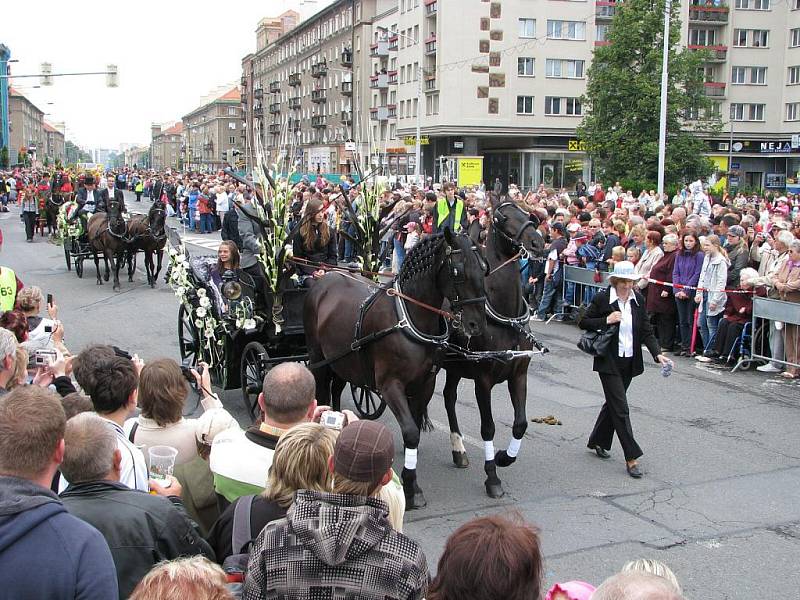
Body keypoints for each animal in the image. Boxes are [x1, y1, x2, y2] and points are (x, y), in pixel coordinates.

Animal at [304, 229, 488, 506]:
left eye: (484, 267)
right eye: (457, 271)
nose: (476, 324)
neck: (410, 319)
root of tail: (325, 277)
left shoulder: (426, 383)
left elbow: (415, 429)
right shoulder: (390, 385)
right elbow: (411, 431)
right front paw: (413, 489)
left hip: (342, 360)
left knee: (335, 388)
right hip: (318, 357)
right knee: (322, 391)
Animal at [440, 197, 548, 496]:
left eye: (528, 213)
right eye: (502, 217)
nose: (537, 242)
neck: (505, 318)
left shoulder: (518, 375)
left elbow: (520, 424)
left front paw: (504, 457)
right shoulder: (483, 381)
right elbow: (487, 428)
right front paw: (492, 477)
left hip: (454, 368)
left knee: (449, 397)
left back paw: (458, 449)